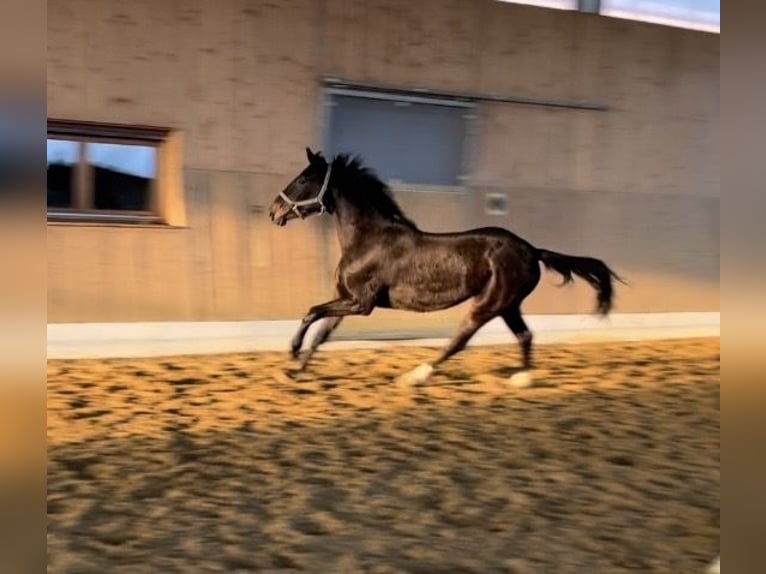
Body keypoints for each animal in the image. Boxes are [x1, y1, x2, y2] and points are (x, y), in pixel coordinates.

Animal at [268, 148, 624, 387]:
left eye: (303, 178)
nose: (274, 211)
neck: (368, 240)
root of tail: (533, 250)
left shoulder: (361, 303)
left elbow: (311, 313)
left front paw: (292, 354)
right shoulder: (348, 300)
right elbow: (321, 334)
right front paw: (295, 371)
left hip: (489, 304)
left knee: (460, 340)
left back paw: (416, 376)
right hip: (508, 305)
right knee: (524, 335)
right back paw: (521, 379)